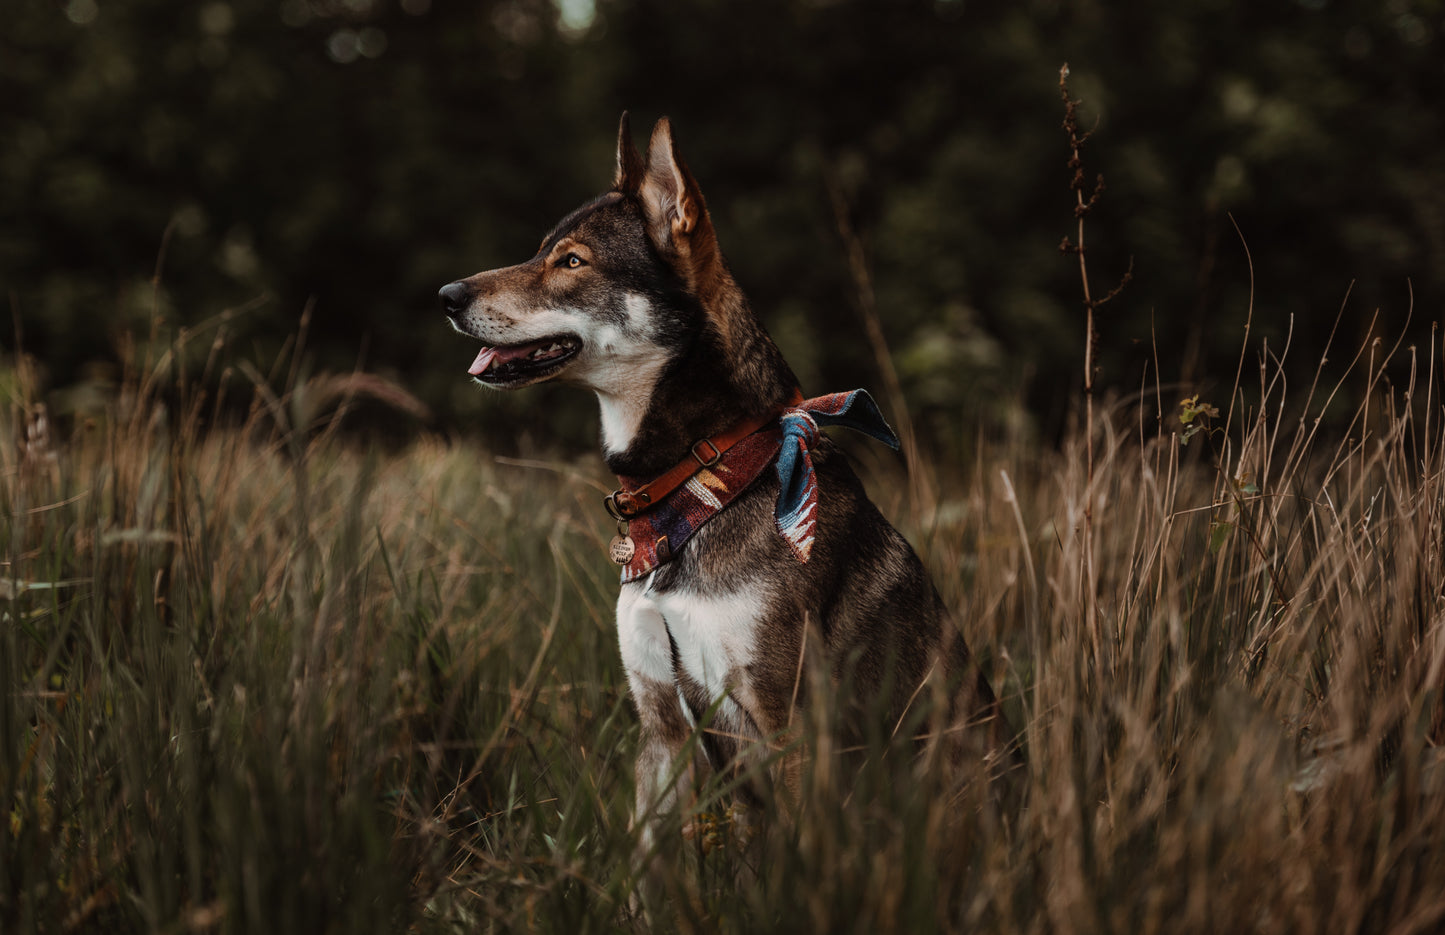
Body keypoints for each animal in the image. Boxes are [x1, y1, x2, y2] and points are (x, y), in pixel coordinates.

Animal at [436, 113, 1017, 861]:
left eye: (571, 262)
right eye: (543, 251)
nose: (446, 297)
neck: (700, 487)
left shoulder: (785, 724)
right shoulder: (661, 727)